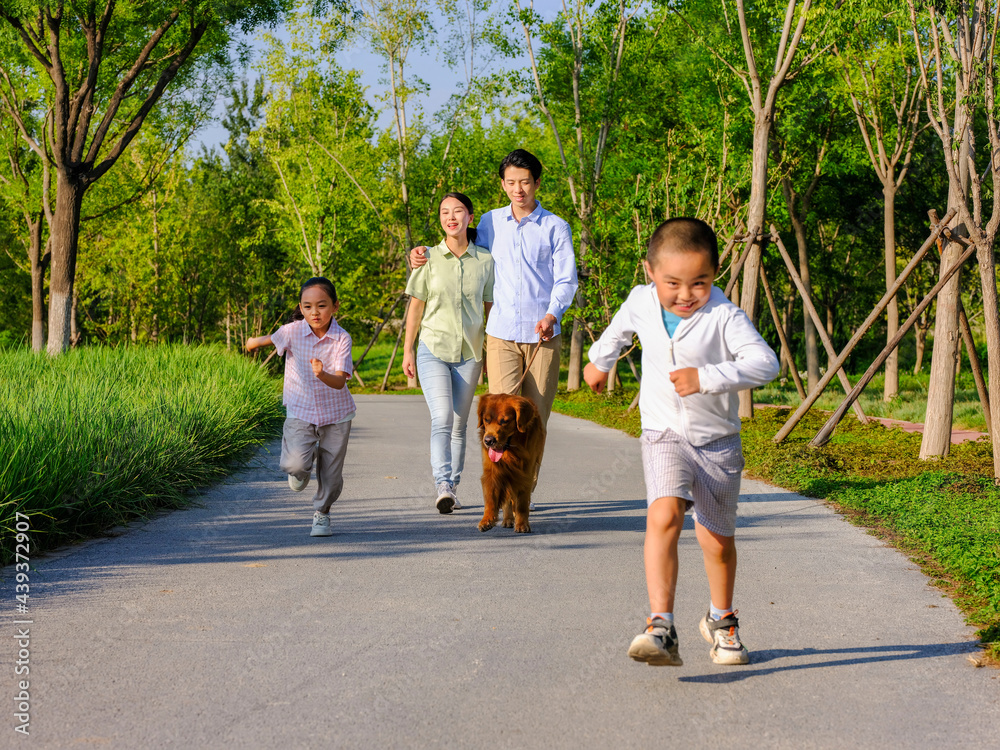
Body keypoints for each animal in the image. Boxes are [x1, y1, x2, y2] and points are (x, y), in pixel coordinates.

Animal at [478, 394, 548, 536]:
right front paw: (487, 520)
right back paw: (508, 519)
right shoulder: (493, 472)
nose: (488, 440)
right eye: (486, 420)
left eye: (504, 421)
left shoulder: (525, 473)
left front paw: (522, 524)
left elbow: (521, 503)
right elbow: (491, 499)